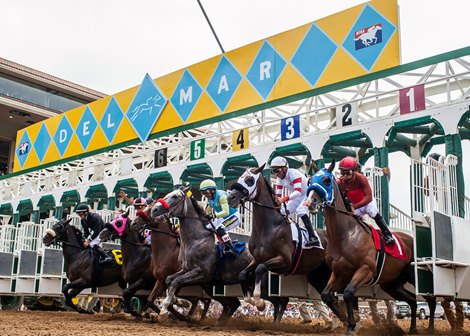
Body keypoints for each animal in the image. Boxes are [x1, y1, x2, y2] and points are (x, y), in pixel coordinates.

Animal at [151, 188, 290, 324]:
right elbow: (170, 280)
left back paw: (275, 323)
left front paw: (164, 310)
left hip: (264, 285)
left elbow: (176, 281)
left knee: (283, 300)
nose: (154, 209)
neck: (197, 239)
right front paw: (178, 302)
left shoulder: (202, 274)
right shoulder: (186, 269)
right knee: (275, 302)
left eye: (174, 196)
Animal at [227, 165, 334, 316]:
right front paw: (252, 300)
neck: (268, 227)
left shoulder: (284, 261)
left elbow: (260, 269)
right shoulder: (257, 258)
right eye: (239, 178)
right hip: (317, 273)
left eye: (249, 180)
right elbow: (242, 274)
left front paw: (260, 303)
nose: (231, 198)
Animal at [306, 161, 436, 334]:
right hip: (392, 284)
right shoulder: (339, 272)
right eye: (309, 180)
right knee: (413, 301)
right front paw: (345, 320)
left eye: (327, 180)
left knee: (431, 299)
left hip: (414, 276)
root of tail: (411, 239)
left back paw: (431, 328)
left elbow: (348, 293)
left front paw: (352, 325)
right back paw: (412, 329)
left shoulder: (366, 269)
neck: (345, 235)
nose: (310, 202)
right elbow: (327, 295)